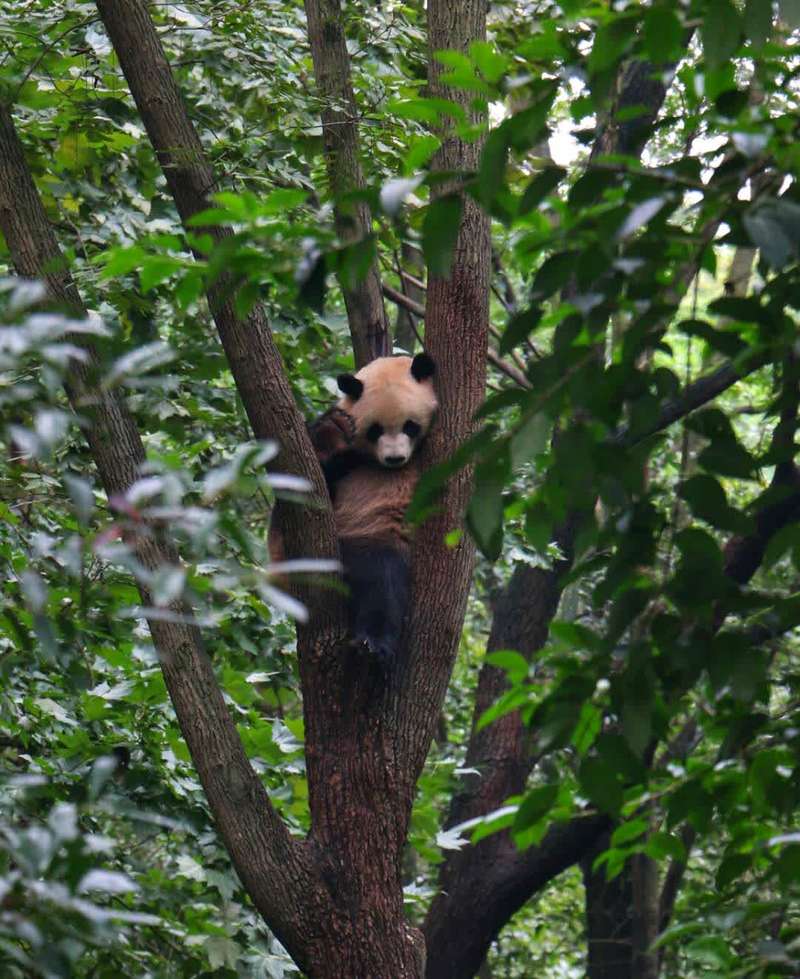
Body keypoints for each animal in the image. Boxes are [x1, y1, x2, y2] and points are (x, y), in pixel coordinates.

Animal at [274, 348, 438, 664]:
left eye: (409, 426)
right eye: (375, 430)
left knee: (382, 581)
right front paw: (331, 434)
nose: (395, 459)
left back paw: (373, 643)